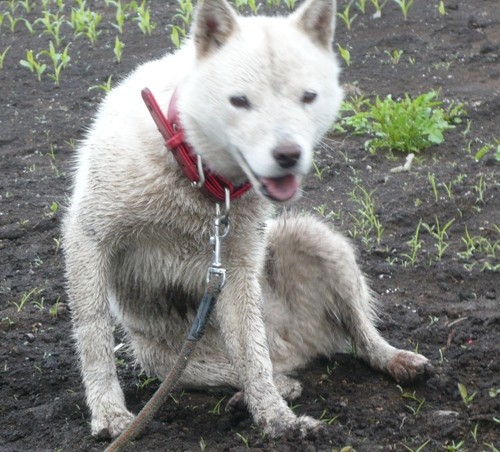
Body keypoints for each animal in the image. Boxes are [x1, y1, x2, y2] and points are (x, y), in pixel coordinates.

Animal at [62, 0, 432, 442]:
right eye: (239, 101)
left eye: (309, 97)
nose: (288, 154)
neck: (196, 171)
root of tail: (294, 348)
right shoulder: (87, 238)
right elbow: (94, 334)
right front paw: (109, 413)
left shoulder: (237, 267)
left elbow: (252, 356)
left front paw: (278, 420)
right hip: (162, 357)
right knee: (223, 370)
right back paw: (266, 389)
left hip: (315, 238)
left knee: (351, 337)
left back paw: (387, 360)